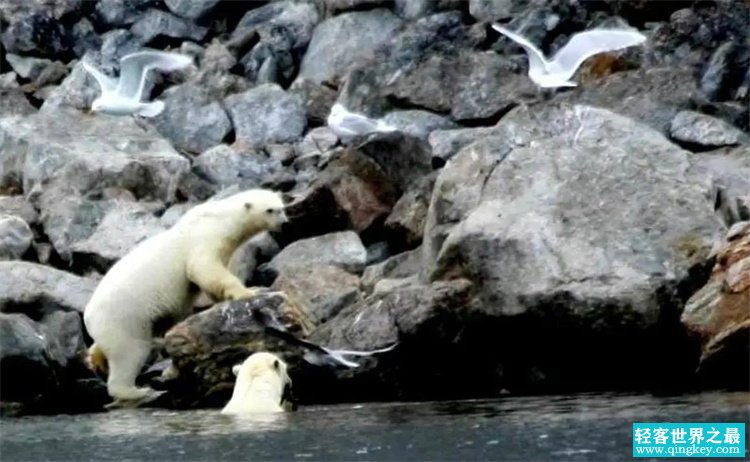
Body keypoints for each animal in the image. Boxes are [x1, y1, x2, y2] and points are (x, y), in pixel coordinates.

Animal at [83, 188, 290, 404]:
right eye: (270, 210)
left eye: (282, 208)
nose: (284, 223)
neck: (221, 218)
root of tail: (88, 317)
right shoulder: (204, 239)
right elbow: (205, 269)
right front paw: (250, 291)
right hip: (123, 319)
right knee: (130, 353)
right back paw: (138, 391)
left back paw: (97, 360)